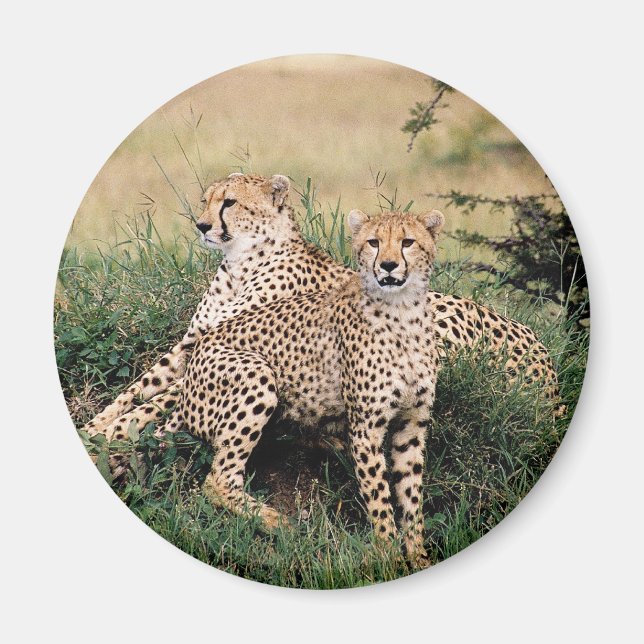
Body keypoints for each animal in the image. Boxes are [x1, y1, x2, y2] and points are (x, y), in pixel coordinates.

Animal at [81, 173, 559, 451]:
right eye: (206, 200)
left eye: (229, 203)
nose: (201, 225)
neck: (240, 264)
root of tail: (543, 353)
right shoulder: (192, 346)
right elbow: (135, 389)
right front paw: (94, 425)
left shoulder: (225, 350)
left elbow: (156, 401)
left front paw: (109, 435)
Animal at [176, 209, 445, 566]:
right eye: (374, 242)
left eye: (408, 242)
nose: (388, 265)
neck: (402, 310)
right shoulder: (366, 427)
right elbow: (378, 494)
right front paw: (389, 556)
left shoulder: (412, 423)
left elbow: (411, 494)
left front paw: (417, 556)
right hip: (257, 373)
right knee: (218, 479)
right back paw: (277, 522)